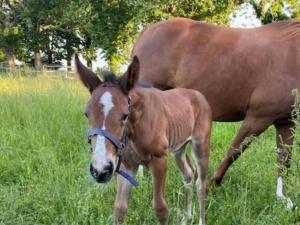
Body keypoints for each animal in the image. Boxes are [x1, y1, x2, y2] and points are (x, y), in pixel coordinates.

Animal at [75, 55, 212, 225]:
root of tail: (199, 95)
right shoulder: (126, 165)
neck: (133, 132)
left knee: (201, 183)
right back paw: (187, 216)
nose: (100, 170)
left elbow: (160, 208)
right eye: (86, 114)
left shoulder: (159, 159)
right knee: (188, 173)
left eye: (125, 115)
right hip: (178, 149)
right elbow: (119, 208)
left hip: (201, 144)